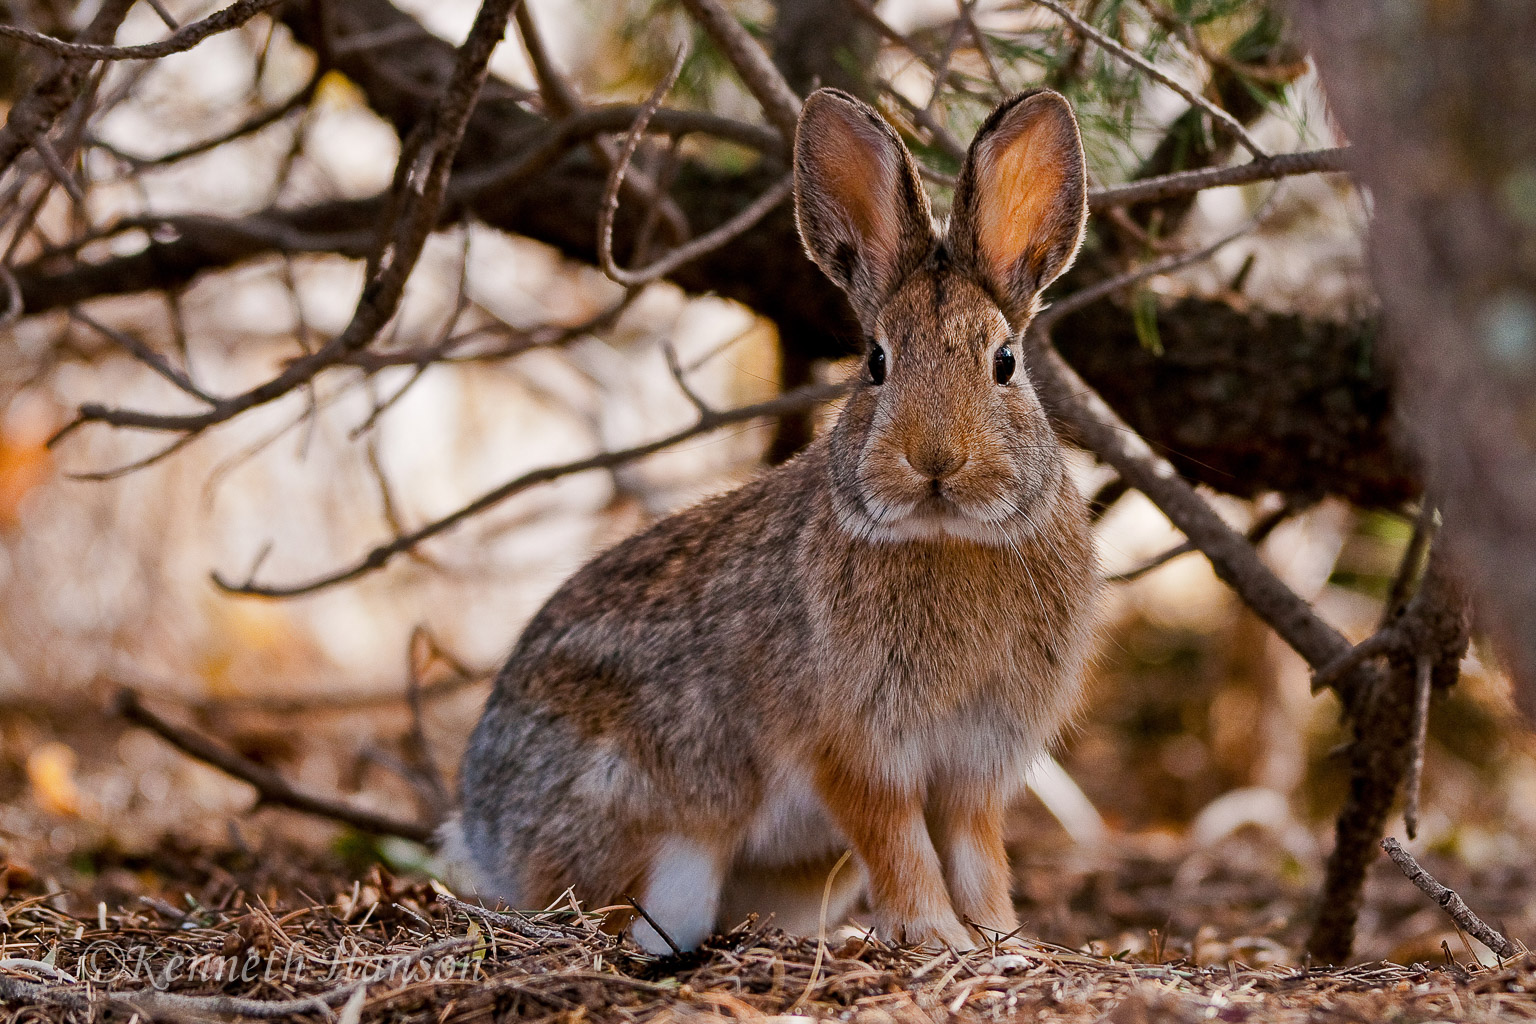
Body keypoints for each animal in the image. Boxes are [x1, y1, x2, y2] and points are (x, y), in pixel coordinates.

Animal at [448, 85, 1099, 951]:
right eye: (875, 362)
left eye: (1005, 362)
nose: (934, 461)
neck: (949, 536)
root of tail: (482, 830)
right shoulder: (854, 750)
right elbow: (900, 844)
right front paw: (938, 937)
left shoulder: (973, 763)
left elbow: (976, 850)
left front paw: (1001, 942)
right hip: (656, 820)